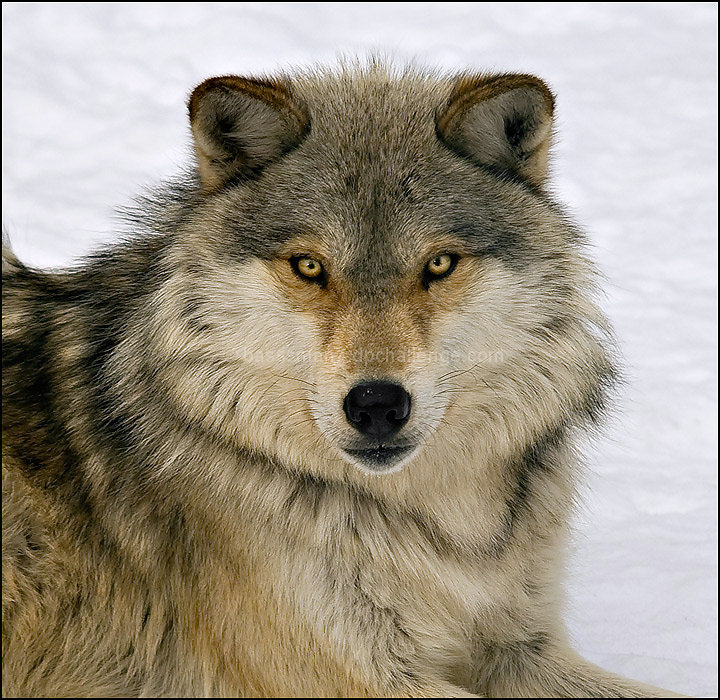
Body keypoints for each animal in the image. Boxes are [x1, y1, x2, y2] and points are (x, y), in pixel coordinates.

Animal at [2, 60, 683, 697]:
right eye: (309, 266)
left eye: (440, 264)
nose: (377, 404)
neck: (436, 527)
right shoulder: (350, 673)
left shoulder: (522, 645)